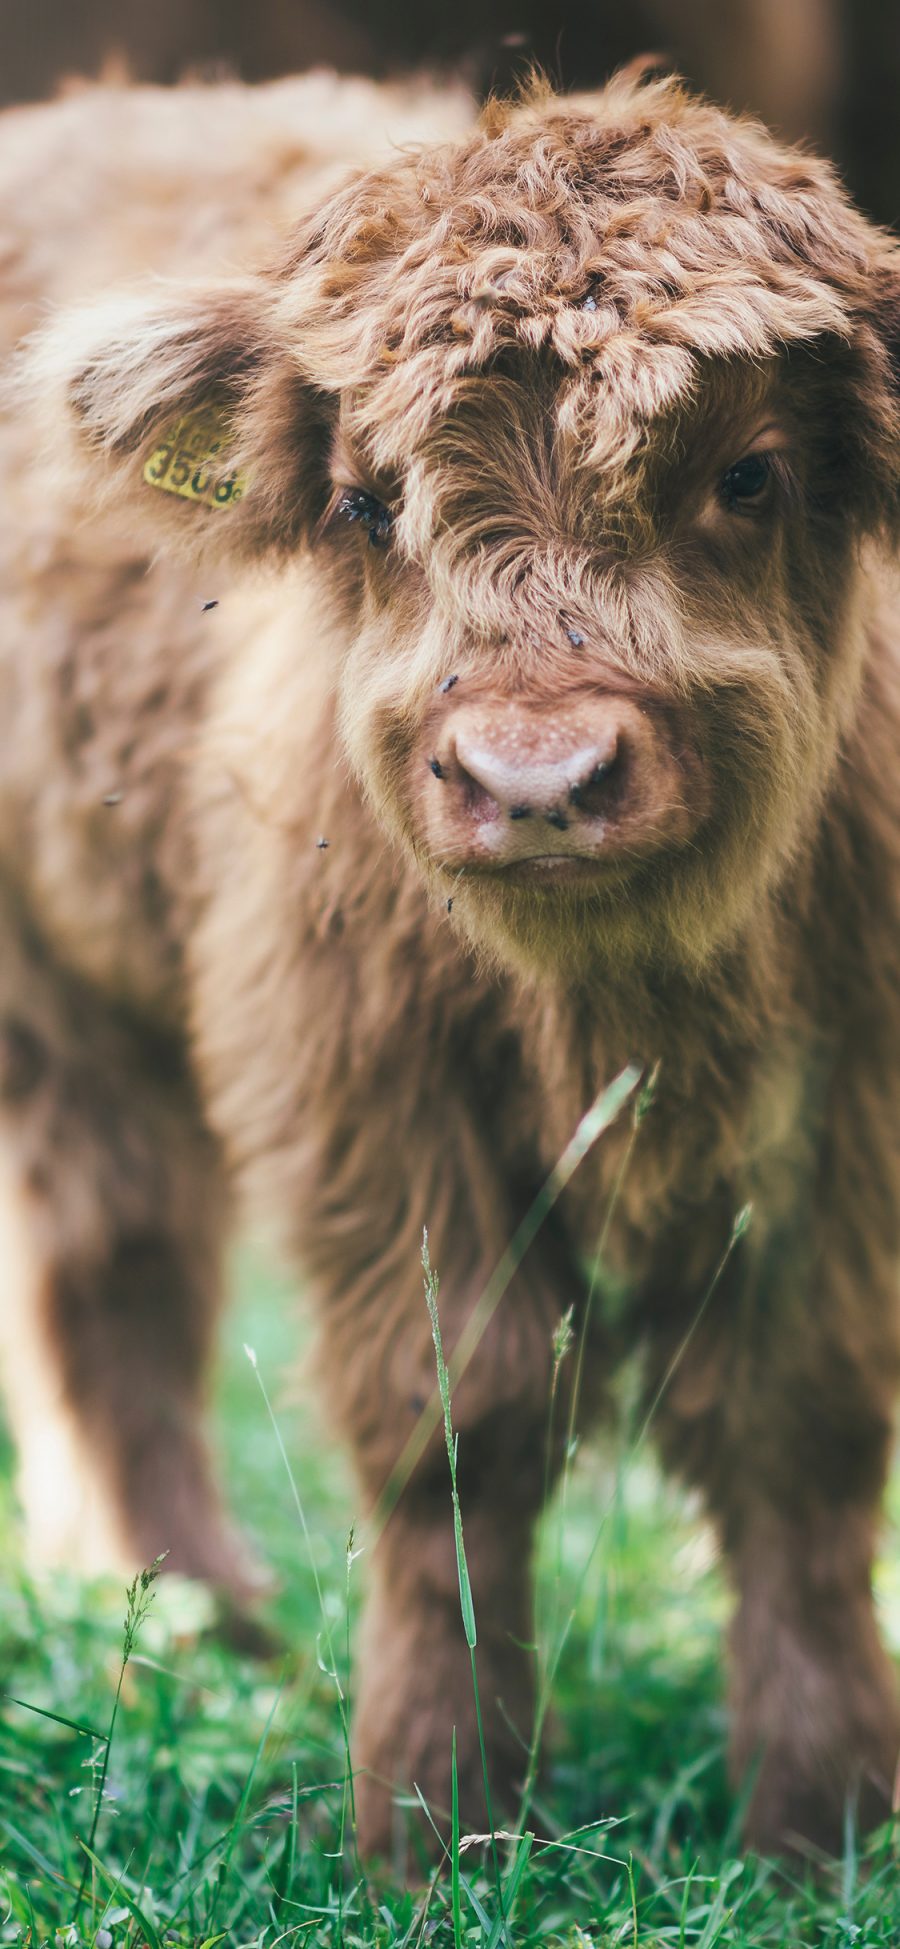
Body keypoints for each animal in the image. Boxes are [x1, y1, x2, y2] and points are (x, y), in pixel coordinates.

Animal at [1, 68, 900, 1855]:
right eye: (367, 500)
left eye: (748, 476)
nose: (535, 779)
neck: (625, 1007)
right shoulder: (361, 1092)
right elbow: (453, 1431)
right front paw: (433, 1817)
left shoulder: (848, 1114)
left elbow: (802, 1439)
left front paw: (823, 1820)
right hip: (51, 988)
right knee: (111, 1272)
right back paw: (186, 1625)